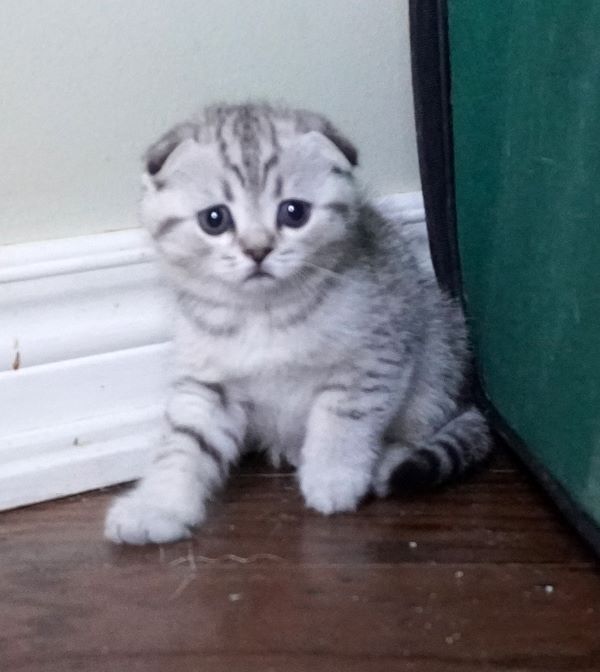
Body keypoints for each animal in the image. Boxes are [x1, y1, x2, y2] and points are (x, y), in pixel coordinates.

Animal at [105, 103, 491, 545]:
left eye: (294, 212)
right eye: (214, 219)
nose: (258, 250)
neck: (262, 314)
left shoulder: (374, 356)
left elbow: (342, 419)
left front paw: (333, 477)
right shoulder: (209, 382)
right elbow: (184, 441)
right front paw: (157, 505)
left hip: (438, 352)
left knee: (422, 424)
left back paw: (387, 459)